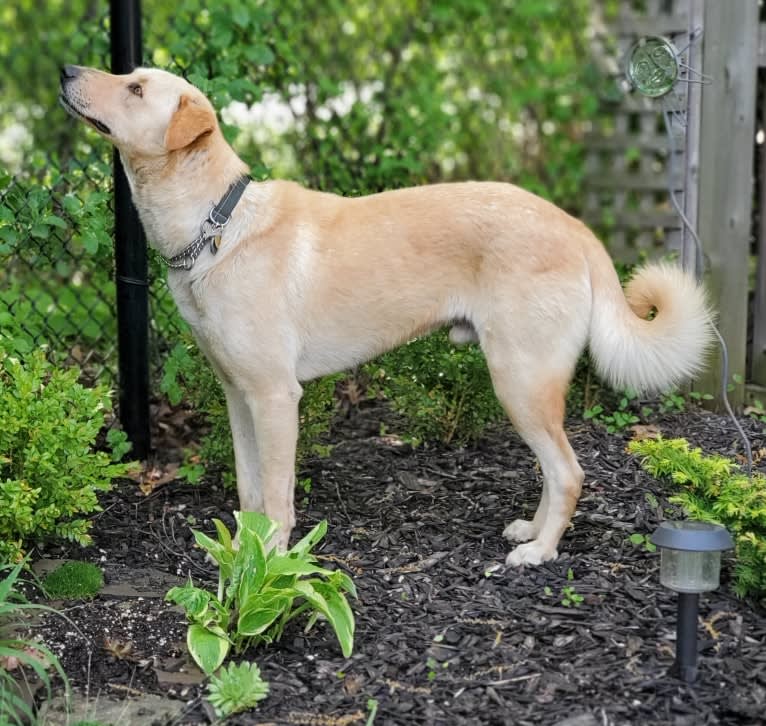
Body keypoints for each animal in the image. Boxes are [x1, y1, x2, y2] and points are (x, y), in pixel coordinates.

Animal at [60, 67, 712, 568]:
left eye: (136, 89)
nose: (66, 72)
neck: (215, 224)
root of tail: (574, 227)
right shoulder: (238, 396)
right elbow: (250, 492)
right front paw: (246, 553)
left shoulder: (276, 397)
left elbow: (277, 498)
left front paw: (271, 563)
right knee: (555, 472)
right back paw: (532, 530)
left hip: (520, 380)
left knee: (569, 471)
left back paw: (540, 552)